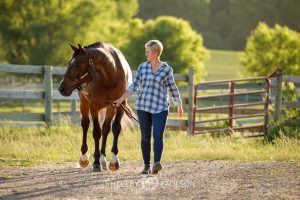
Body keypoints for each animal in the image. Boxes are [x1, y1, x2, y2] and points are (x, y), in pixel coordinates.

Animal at [58, 41, 132, 171]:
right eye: (68, 63)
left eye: (77, 64)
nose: (61, 88)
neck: (111, 74)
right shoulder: (94, 106)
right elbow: (96, 132)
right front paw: (96, 162)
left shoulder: (120, 104)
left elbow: (115, 128)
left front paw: (113, 160)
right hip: (84, 102)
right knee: (85, 124)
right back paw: (84, 157)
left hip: (110, 107)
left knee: (106, 128)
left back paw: (103, 159)